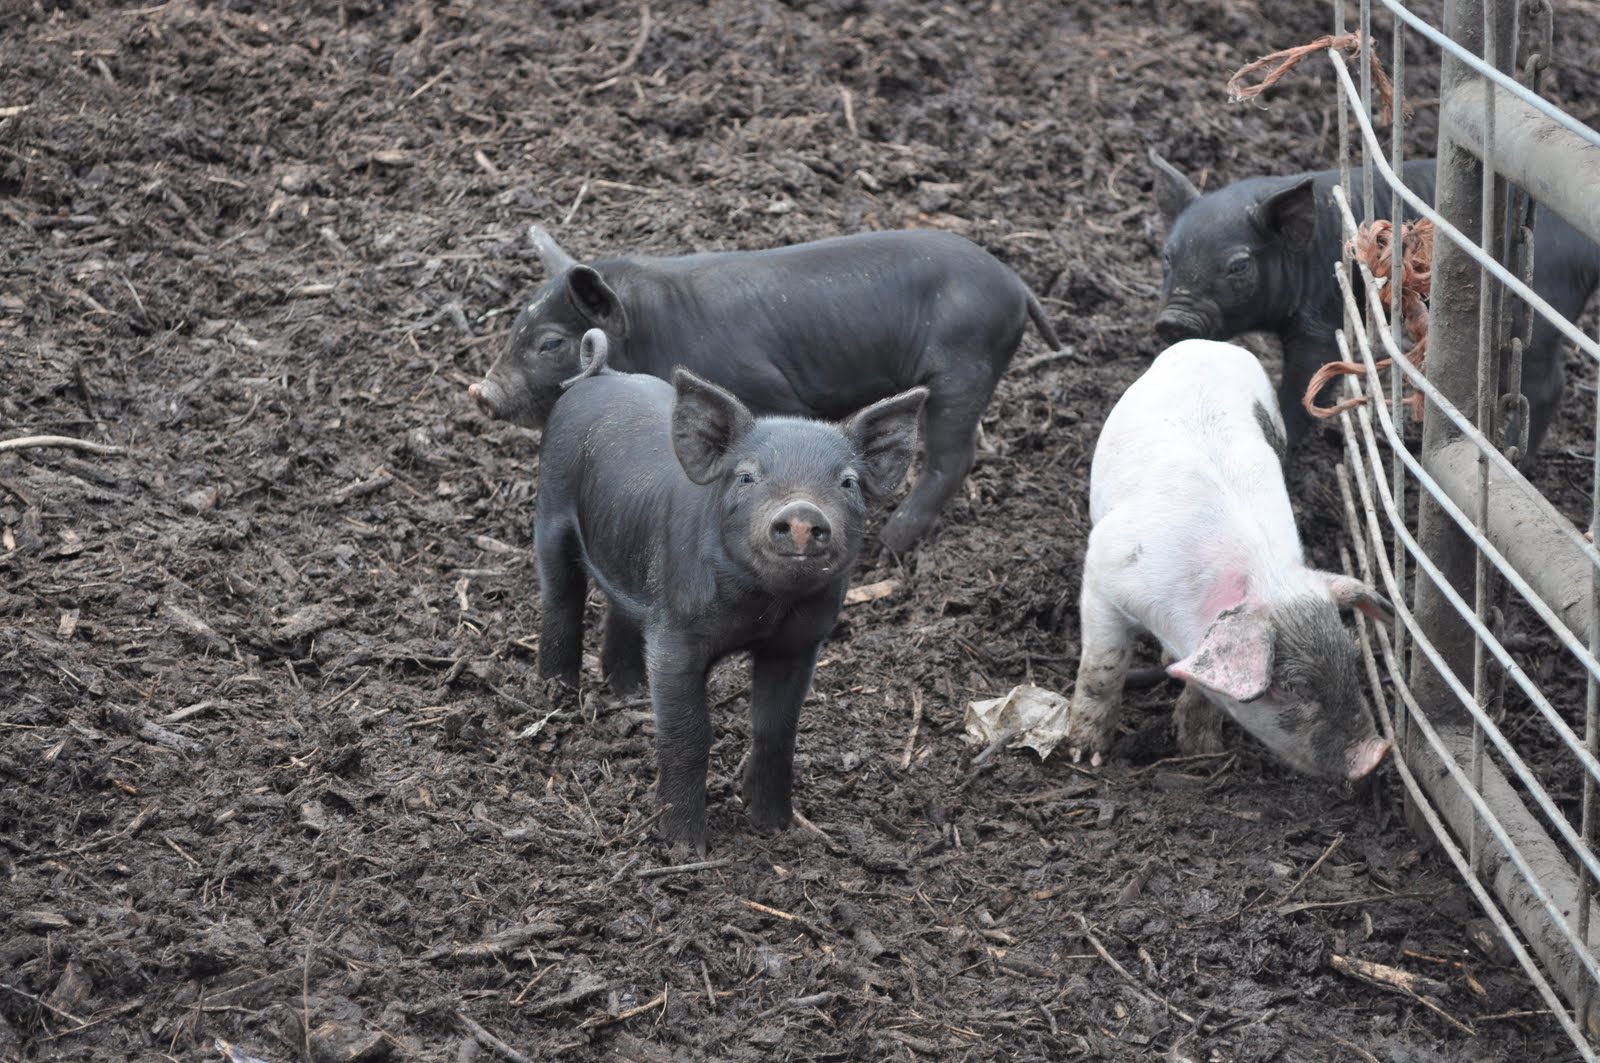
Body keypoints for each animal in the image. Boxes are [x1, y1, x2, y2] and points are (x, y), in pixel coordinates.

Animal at [470, 226, 1061, 554]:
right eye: (516, 324)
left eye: (550, 342)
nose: (481, 392)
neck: (651, 329)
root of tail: (1016, 285)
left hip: (962, 368)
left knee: (953, 455)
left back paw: (888, 546)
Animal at [535, 360, 927, 852]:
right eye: (746, 476)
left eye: (848, 482)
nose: (802, 513)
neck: (767, 607)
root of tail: (602, 373)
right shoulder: (677, 633)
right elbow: (689, 732)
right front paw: (685, 847)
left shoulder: (799, 644)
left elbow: (777, 727)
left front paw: (773, 827)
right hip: (551, 505)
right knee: (561, 598)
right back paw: (557, 695)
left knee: (618, 610)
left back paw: (631, 693)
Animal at [1066, 338, 1394, 781]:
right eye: (1290, 686)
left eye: (1352, 658)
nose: (1376, 753)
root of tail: (1213, 344)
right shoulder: (1103, 575)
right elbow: (1103, 670)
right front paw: (1086, 756)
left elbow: (1204, 692)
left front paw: (1203, 752)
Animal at [1149, 150, 1600, 454]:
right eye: (1168, 257)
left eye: (1238, 266)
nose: (1173, 320)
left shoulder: (1322, 323)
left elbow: (1308, 384)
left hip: (1538, 310)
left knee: (1547, 387)